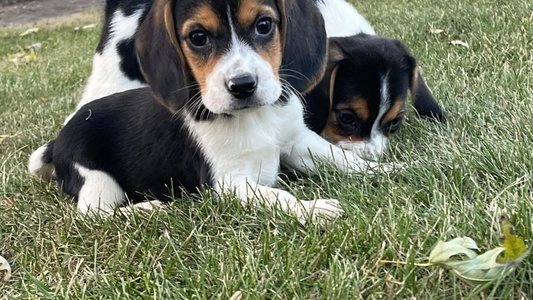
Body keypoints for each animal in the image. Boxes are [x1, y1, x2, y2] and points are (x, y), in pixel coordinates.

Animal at [28, 0, 390, 224]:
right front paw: (314, 209)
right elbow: (279, 196)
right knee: (93, 213)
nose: (242, 85)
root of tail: (56, 142)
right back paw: (146, 210)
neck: (255, 118)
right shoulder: (229, 183)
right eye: (198, 37)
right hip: (97, 178)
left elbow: (343, 159)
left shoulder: (298, 142)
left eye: (264, 25)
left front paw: (389, 168)